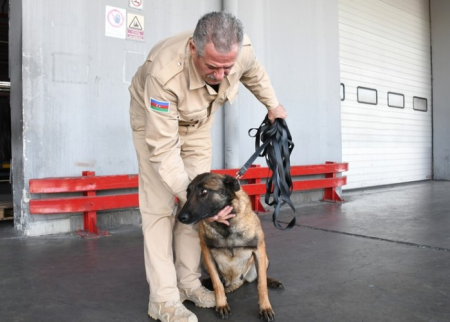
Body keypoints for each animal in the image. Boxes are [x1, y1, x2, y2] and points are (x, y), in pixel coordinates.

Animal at [175, 172, 282, 320]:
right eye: (188, 192)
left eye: (204, 191)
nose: (180, 217)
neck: (226, 225)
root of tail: (235, 282)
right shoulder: (206, 251)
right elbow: (217, 284)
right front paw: (221, 304)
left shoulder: (259, 249)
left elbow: (261, 285)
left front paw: (265, 307)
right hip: (204, 262)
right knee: (221, 280)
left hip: (264, 259)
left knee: (259, 277)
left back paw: (272, 281)